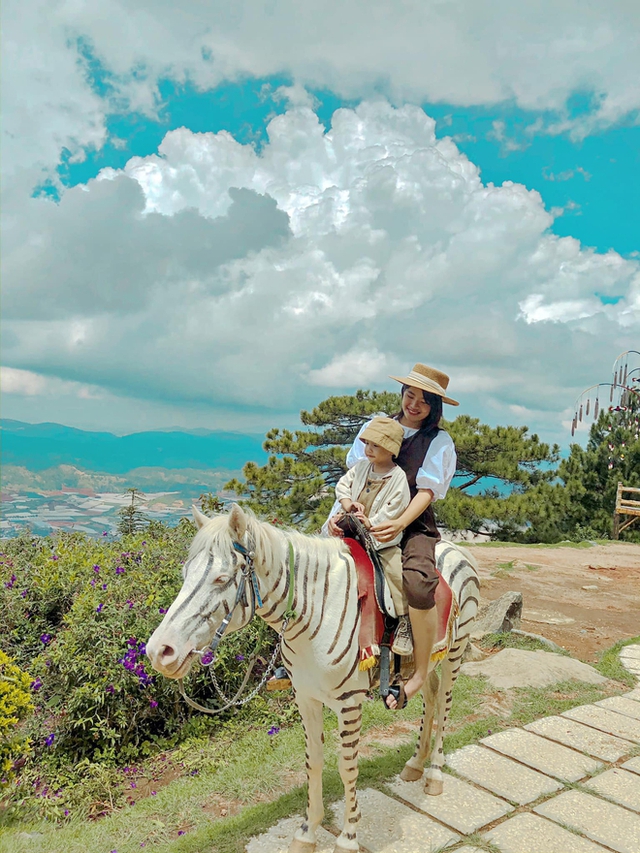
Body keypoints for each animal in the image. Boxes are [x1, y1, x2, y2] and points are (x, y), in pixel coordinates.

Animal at [145, 506, 476, 852]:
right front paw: (307, 831)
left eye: (221, 578)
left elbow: (347, 767)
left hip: (455, 652)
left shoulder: (348, 703)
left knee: (444, 703)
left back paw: (434, 772)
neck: (314, 612)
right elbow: (313, 762)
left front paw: (348, 836)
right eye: (185, 574)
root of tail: (455, 548)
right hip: (425, 661)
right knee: (430, 693)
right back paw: (415, 763)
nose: (159, 651)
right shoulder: (306, 698)